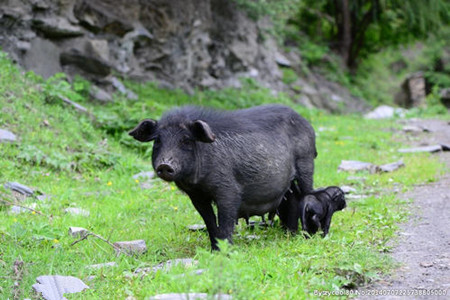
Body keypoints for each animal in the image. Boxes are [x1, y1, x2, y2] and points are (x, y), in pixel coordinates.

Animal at [128, 104, 316, 250]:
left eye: (186, 140)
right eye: (158, 141)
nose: (165, 165)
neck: (197, 182)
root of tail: (306, 122)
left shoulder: (228, 189)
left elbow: (225, 221)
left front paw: (226, 251)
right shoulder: (197, 197)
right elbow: (210, 222)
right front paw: (214, 250)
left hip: (306, 163)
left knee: (307, 194)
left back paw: (307, 235)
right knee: (292, 199)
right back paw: (290, 234)